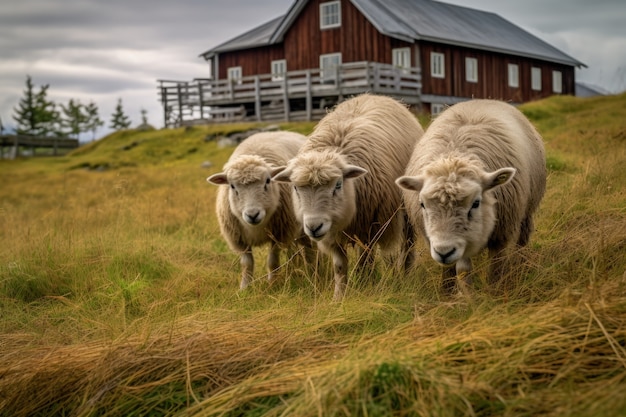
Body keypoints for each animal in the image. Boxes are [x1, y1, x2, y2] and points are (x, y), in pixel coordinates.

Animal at [207, 130, 308, 290]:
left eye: (268, 181)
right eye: (232, 186)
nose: (252, 215)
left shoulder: (278, 234)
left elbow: (272, 261)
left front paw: (272, 283)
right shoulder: (239, 239)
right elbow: (246, 264)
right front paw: (244, 287)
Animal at [272, 93, 424, 300]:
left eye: (338, 184)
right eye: (295, 187)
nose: (313, 227)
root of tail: (375, 95)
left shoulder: (370, 226)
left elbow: (364, 259)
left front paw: (364, 284)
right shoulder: (332, 234)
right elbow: (339, 266)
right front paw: (339, 297)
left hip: (405, 207)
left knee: (407, 242)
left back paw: (406, 271)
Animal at [398, 98, 544, 290]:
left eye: (476, 203)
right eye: (422, 204)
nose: (444, 252)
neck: (455, 153)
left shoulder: (501, 234)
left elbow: (496, 269)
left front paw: (495, 292)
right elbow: (456, 271)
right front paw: (447, 293)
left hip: (526, 212)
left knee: (522, 240)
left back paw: (522, 266)